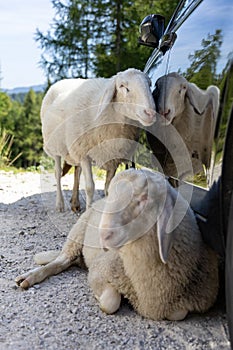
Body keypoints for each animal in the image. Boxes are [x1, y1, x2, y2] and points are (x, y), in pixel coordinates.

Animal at [15, 169, 218, 320]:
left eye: (144, 199)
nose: (103, 235)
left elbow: (178, 313)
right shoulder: (100, 269)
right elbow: (110, 303)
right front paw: (99, 299)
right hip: (77, 232)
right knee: (61, 261)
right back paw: (30, 277)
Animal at [41, 68, 156, 211]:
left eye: (150, 84)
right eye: (122, 86)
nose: (150, 113)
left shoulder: (113, 156)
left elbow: (108, 188)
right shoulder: (84, 154)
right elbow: (90, 187)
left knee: (77, 172)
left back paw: (75, 203)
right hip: (55, 146)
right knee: (58, 173)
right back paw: (60, 204)